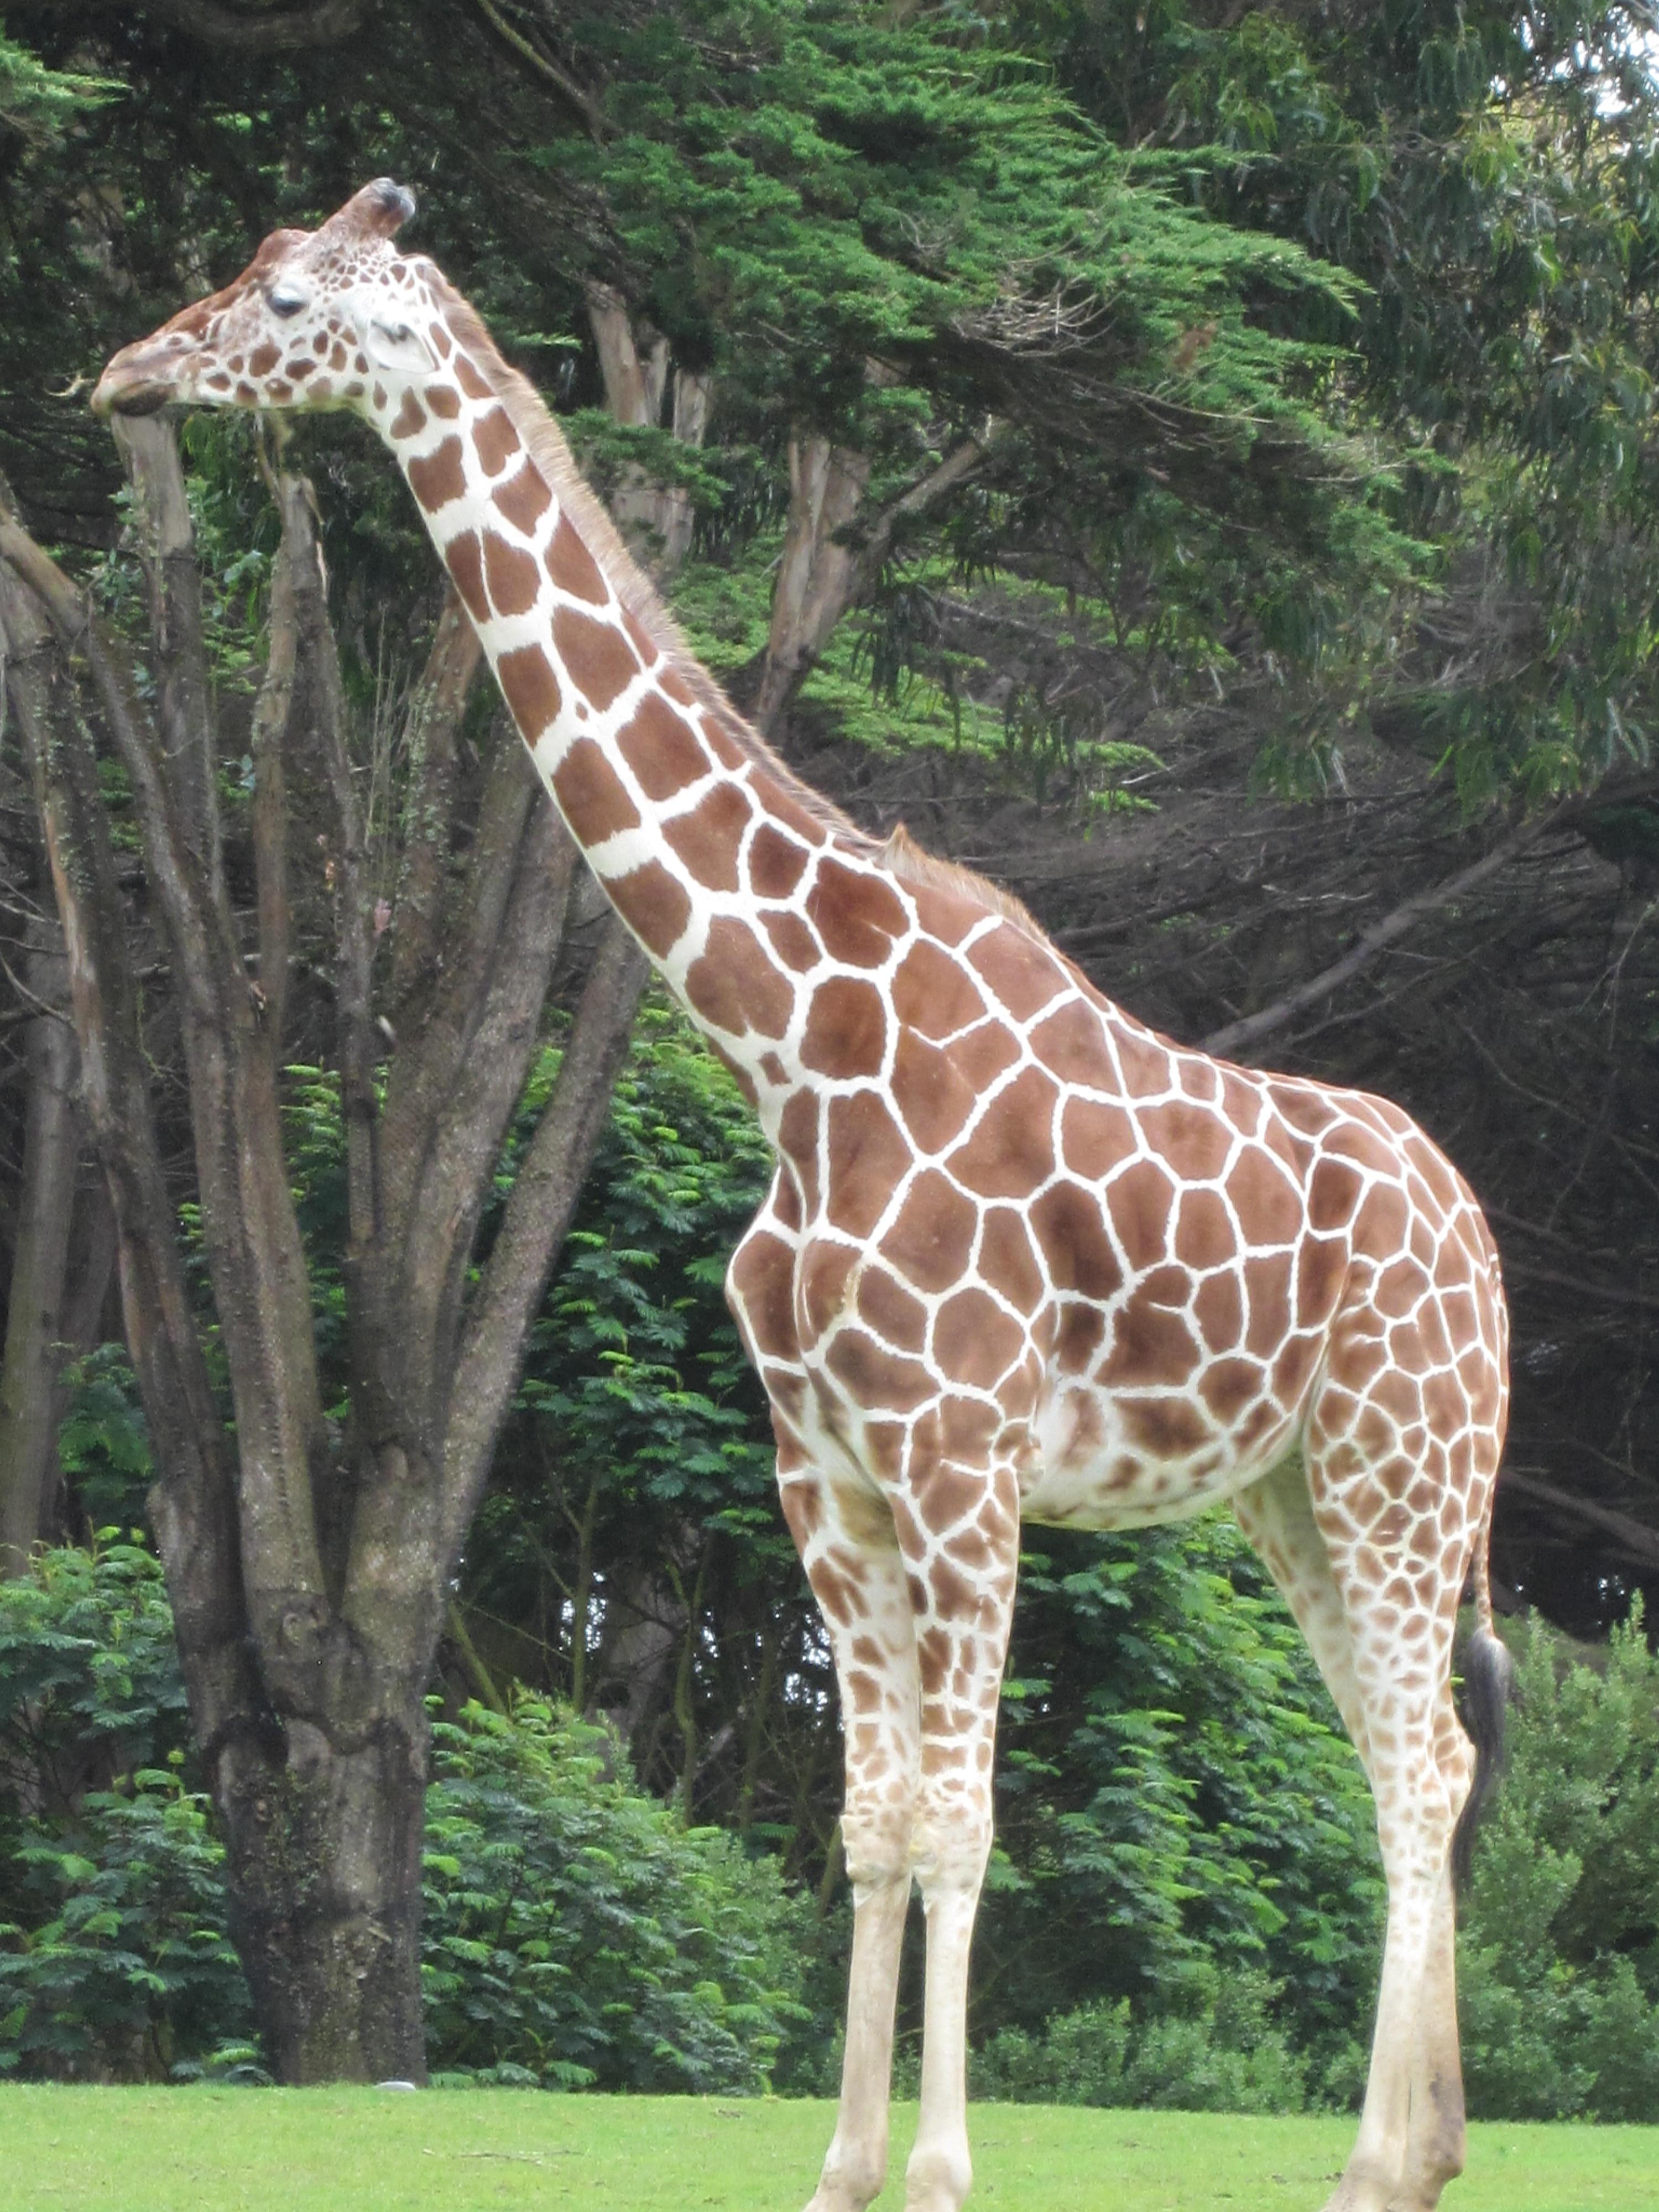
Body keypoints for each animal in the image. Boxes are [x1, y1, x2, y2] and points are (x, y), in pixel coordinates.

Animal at [94, 177, 1522, 2212]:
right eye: (246, 267)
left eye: (287, 301)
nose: (127, 370)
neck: (788, 1040)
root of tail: (1484, 1249)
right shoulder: (824, 1470)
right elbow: (866, 1820)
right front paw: (845, 2165)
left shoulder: (961, 1455)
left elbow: (962, 1817)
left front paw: (941, 2167)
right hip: (1298, 1497)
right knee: (1420, 1762)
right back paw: (1415, 2153)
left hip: (1404, 1471)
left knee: (1423, 1769)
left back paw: (1377, 2169)